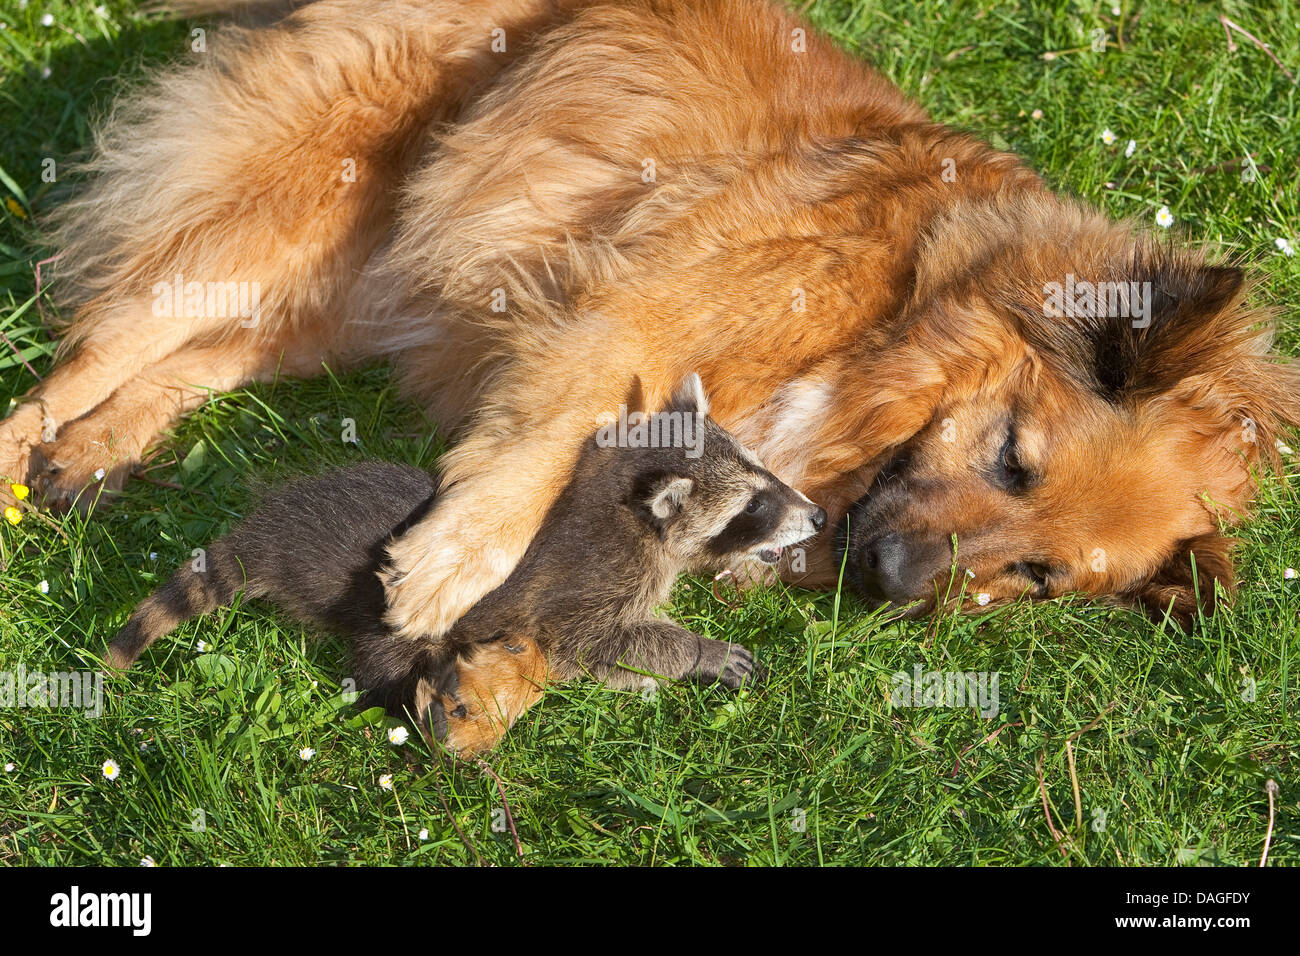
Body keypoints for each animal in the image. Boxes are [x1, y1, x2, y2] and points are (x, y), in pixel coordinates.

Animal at [0, 0, 1294, 629]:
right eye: (1017, 455)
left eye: (1038, 574)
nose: (888, 576)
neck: (893, 311)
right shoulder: (621, 314)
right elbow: (545, 435)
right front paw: (451, 567)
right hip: (305, 189)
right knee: (105, 337)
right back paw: (30, 450)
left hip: (361, 281)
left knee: (198, 355)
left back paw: (98, 450)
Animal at [109, 374, 821, 754]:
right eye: (755, 505)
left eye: (764, 470)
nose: (817, 517)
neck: (623, 510)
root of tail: (285, 530)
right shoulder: (585, 587)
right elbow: (595, 642)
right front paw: (695, 654)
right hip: (392, 618)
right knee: (390, 662)